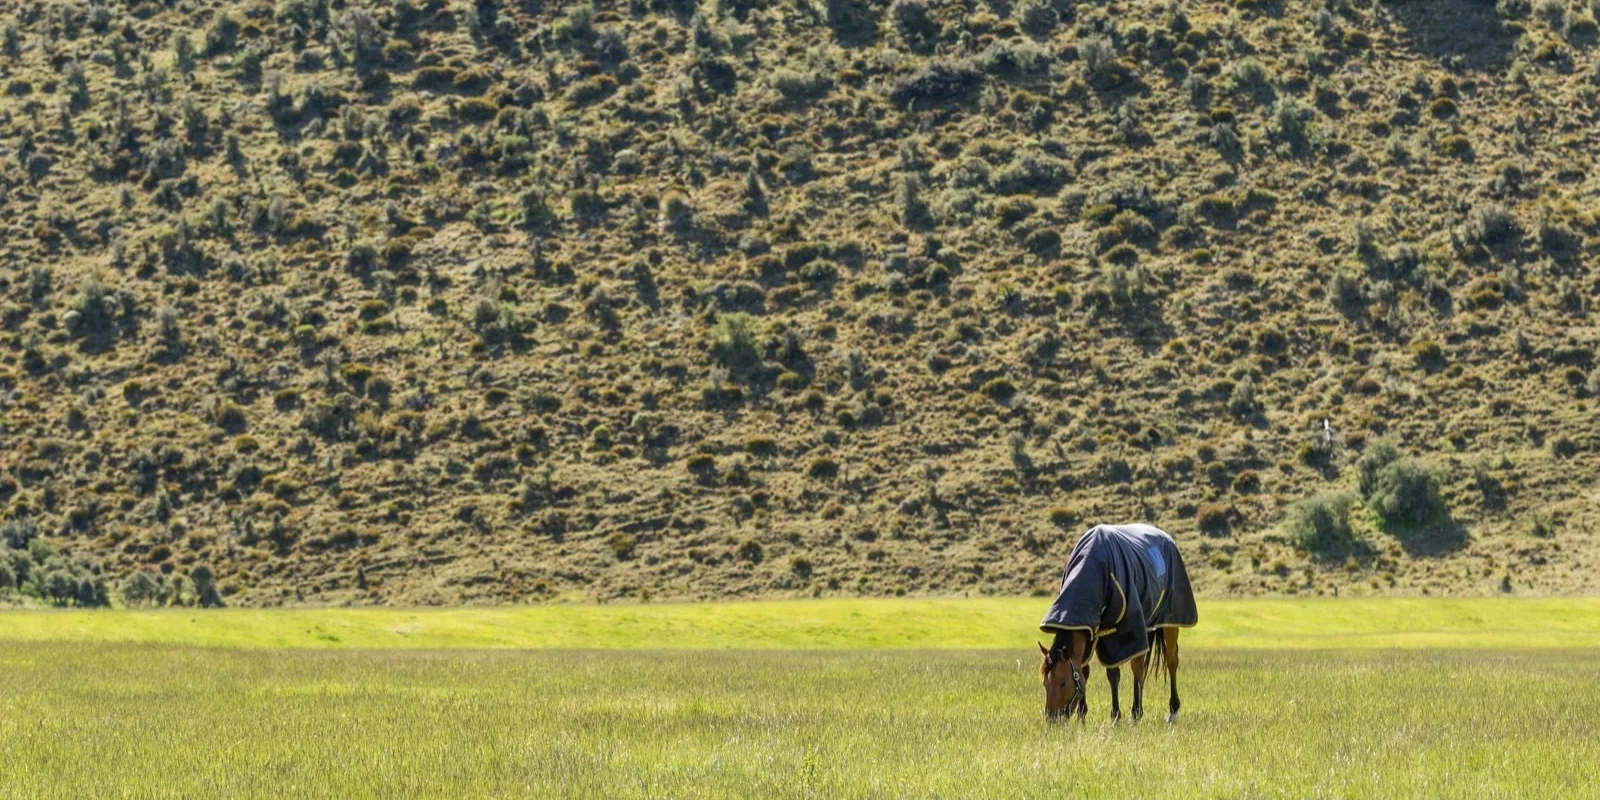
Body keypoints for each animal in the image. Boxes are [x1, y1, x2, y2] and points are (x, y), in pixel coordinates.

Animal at [1035, 523, 1197, 723]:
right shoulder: (1091, 629)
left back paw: (1169, 710)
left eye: (1063, 683)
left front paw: (1126, 714)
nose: (1052, 719)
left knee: (1170, 661)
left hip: (1169, 622)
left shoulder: (1126, 629)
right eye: (1045, 683)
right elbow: (1091, 671)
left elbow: (1124, 670)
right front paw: (1088, 715)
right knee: (1143, 668)